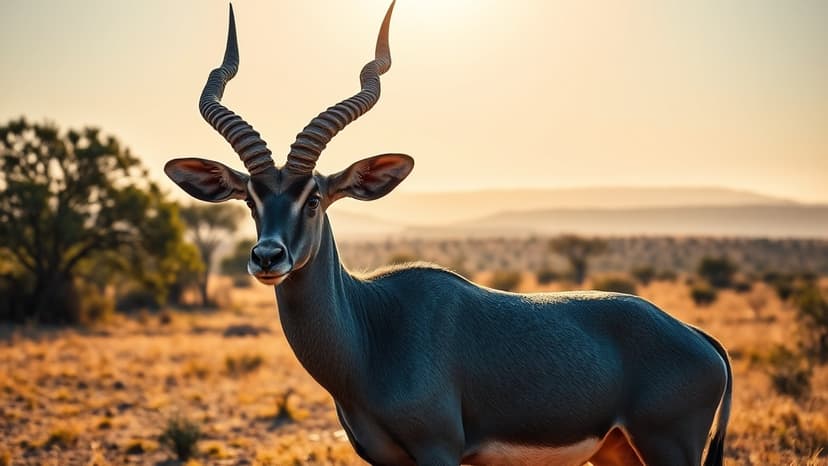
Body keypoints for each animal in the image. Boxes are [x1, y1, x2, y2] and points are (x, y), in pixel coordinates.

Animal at [165, 3, 732, 465]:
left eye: (315, 197)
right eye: (250, 198)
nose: (267, 257)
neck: (373, 329)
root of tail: (701, 339)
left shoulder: (438, 451)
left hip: (667, 447)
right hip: (617, 452)